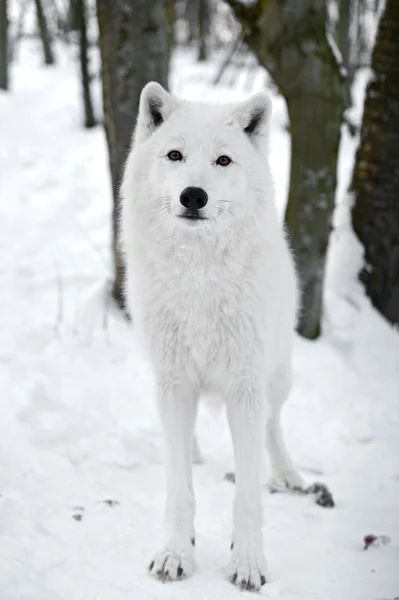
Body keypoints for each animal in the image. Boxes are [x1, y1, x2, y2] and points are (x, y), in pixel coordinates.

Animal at [122, 81, 306, 592]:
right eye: (175, 155)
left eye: (223, 161)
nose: (193, 196)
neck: (198, 279)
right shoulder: (174, 383)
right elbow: (178, 486)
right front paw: (175, 554)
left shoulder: (245, 389)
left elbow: (247, 494)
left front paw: (247, 563)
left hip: (276, 379)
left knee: (273, 427)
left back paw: (288, 474)